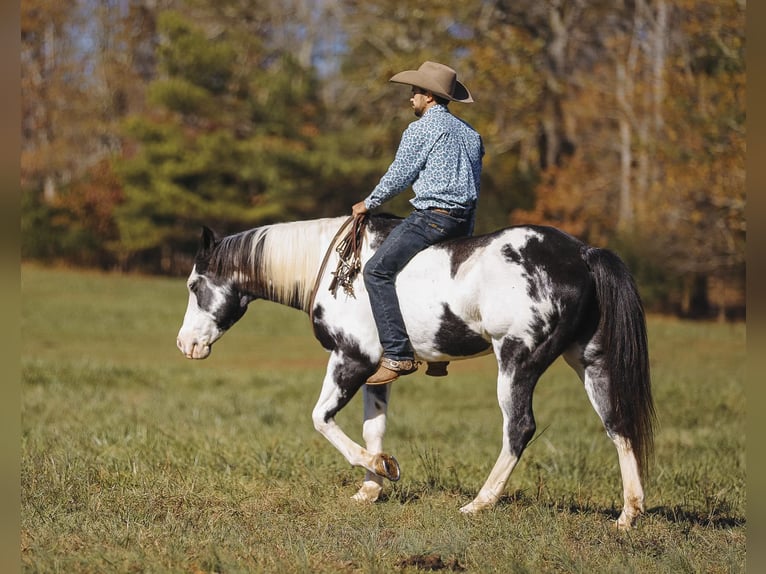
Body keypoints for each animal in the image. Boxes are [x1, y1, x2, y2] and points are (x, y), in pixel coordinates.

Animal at [177, 215, 656, 532]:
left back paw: (479, 503)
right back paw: (627, 515)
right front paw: (370, 488)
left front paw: (381, 468)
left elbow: (322, 419)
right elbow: (373, 427)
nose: (186, 345)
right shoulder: (377, 372)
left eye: (194, 285)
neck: (336, 270)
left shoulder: (350, 358)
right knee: (617, 425)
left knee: (519, 428)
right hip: (589, 362)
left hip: (517, 361)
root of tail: (583, 254)